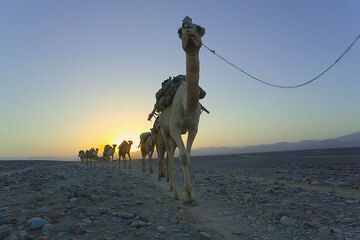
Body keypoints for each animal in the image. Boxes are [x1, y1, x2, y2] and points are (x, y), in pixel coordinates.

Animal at [158, 15, 205, 203]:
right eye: (181, 28)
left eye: (200, 29)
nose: (189, 31)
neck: (188, 106)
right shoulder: (175, 126)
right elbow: (183, 157)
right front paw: (186, 195)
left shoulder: (193, 128)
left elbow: (188, 157)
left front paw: (193, 194)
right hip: (165, 131)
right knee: (170, 157)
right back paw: (173, 191)